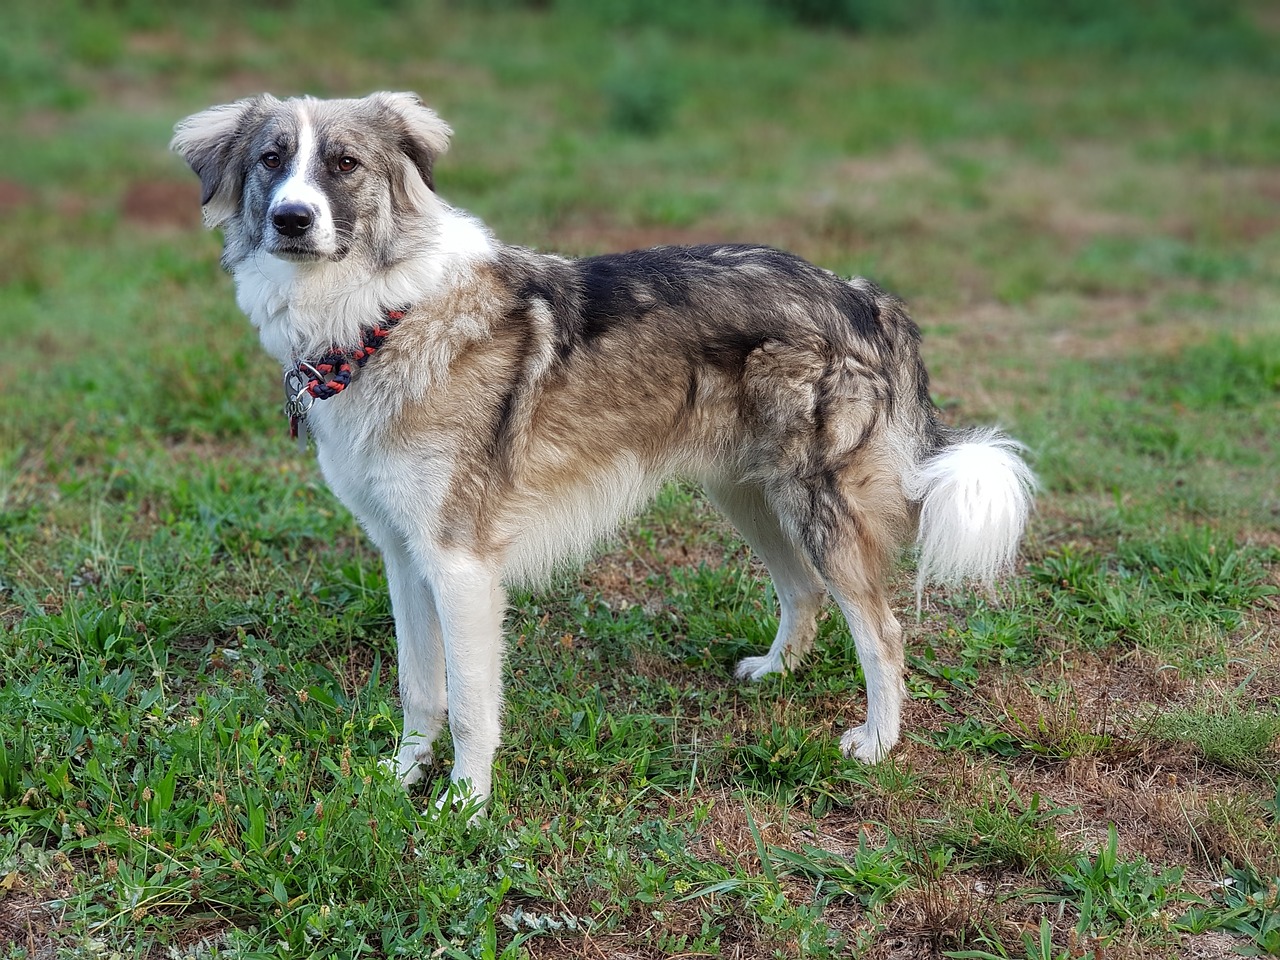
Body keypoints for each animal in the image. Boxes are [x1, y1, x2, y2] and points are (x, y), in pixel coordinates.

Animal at [172, 94, 1029, 808]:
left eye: (344, 164)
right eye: (272, 160)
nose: (292, 219)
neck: (382, 314)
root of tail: (860, 295)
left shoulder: (459, 564)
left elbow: (470, 705)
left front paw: (463, 805)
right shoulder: (403, 554)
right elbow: (421, 688)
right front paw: (403, 773)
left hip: (817, 505)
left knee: (881, 632)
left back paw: (877, 743)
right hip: (749, 495)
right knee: (804, 591)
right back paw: (775, 673)